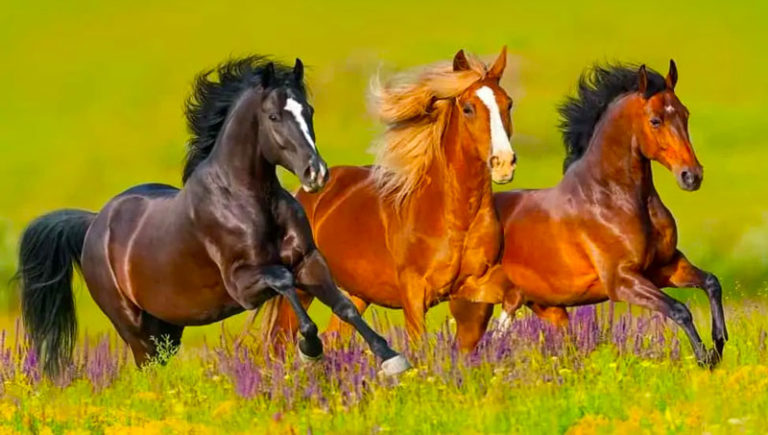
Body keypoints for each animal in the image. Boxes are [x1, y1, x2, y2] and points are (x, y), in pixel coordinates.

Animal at [16, 55, 410, 378]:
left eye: (308, 111)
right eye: (274, 116)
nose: (316, 174)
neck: (249, 200)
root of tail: (94, 223)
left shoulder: (309, 261)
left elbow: (344, 306)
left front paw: (391, 358)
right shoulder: (243, 284)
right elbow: (284, 282)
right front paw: (310, 350)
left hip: (167, 327)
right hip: (134, 328)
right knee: (147, 368)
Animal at [261, 48, 517, 344]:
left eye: (508, 104)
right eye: (468, 109)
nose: (504, 162)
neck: (455, 217)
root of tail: (302, 193)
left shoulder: (478, 282)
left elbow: (509, 298)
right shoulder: (414, 294)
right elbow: (419, 344)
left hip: (355, 293)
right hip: (303, 287)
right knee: (279, 341)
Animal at [451, 61, 727, 367]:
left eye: (685, 114)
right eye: (656, 120)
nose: (691, 176)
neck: (612, 198)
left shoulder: (665, 267)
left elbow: (711, 282)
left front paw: (719, 342)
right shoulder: (622, 281)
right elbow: (679, 309)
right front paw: (705, 358)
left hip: (540, 306)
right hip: (475, 306)